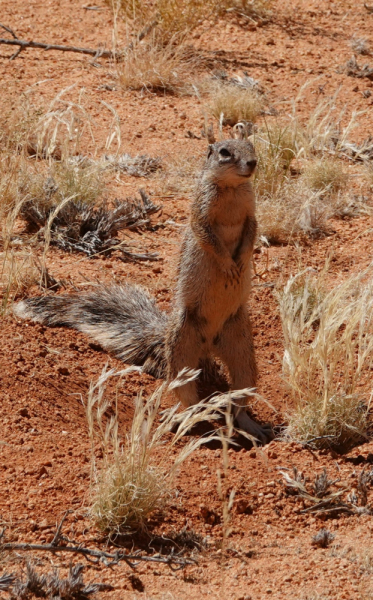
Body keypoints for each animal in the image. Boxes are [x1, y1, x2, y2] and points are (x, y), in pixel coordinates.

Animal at [14, 139, 272, 440]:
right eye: (225, 153)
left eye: (251, 146)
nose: (253, 163)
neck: (232, 189)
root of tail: (208, 344)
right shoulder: (200, 211)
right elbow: (208, 237)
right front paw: (228, 265)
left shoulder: (251, 212)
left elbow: (251, 231)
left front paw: (241, 261)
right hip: (182, 345)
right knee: (186, 396)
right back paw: (181, 418)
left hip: (241, 346)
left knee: (239, 396)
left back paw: (250, 425)